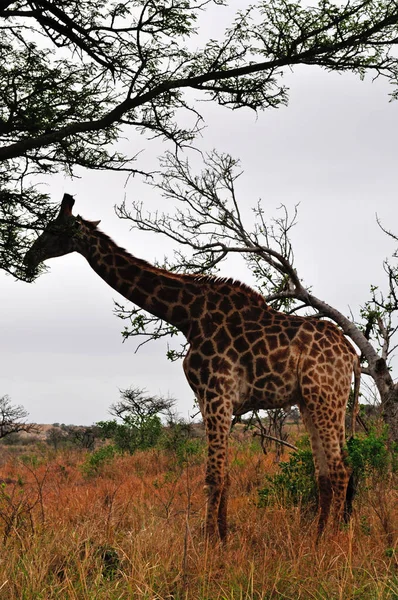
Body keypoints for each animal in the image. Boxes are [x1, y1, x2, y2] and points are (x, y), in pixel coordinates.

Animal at [24, 196, 360, 540]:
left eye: (54, 229)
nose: (28, 257)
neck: (188, 317)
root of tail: (351, 354)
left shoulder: (216, 394)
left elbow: (213, 475)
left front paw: (209, 541)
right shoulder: (210, 398)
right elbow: (224, 475)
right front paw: (222, 537)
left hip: (324, 397)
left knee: (339, 469)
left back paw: (332, 539)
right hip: (311, 400)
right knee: (326, 471)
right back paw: (317, 537)